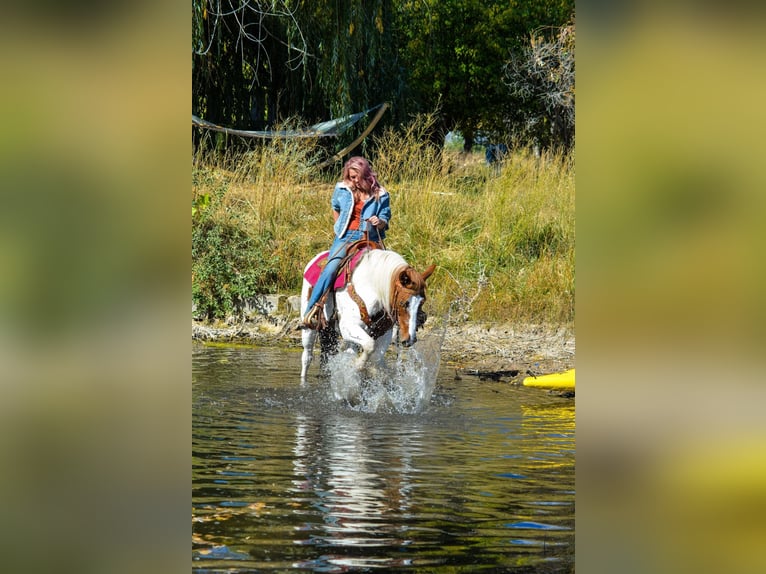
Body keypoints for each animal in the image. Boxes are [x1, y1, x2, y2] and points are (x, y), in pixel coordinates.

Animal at [300, 248, 436, 382]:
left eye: (422, 302)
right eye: (404, 303)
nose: (410, 339)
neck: (371, 289)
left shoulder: (384, 333)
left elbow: (376, 358)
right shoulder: (348, 327)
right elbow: (370, 345)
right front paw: (358, 365)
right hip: (310, 328)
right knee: (307, 357)